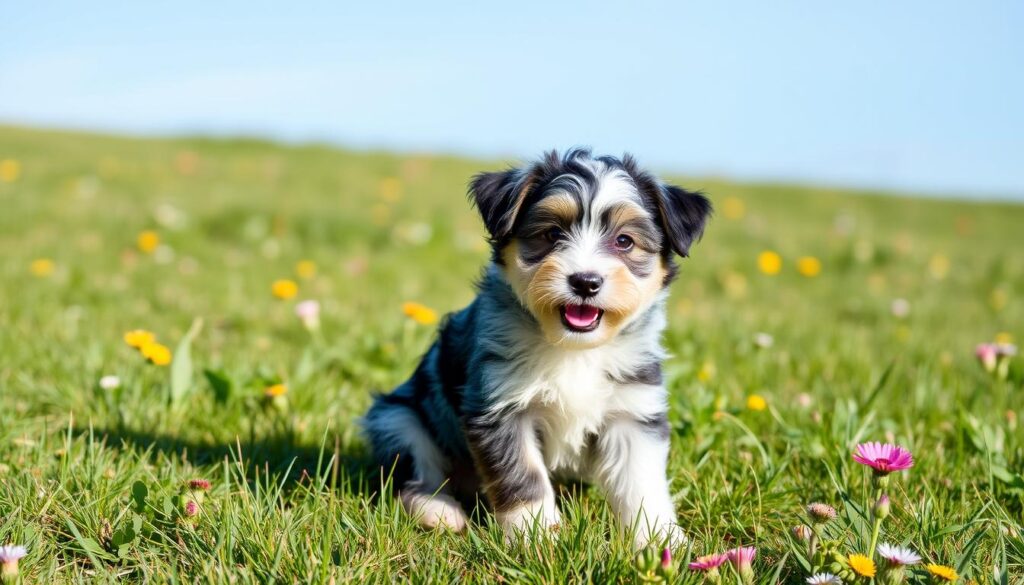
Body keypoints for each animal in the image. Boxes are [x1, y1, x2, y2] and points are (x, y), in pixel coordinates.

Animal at [362, 148, 712, 549]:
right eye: (551, 233)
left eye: (624, 241)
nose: (585, 282)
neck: (574, 349)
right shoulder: (499, 406)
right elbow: (523, 475)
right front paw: (536, 538)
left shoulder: (632, 409)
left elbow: (640, 482)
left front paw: (661, 542)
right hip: (397, 419)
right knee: (415, 475)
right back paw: (440, 511)